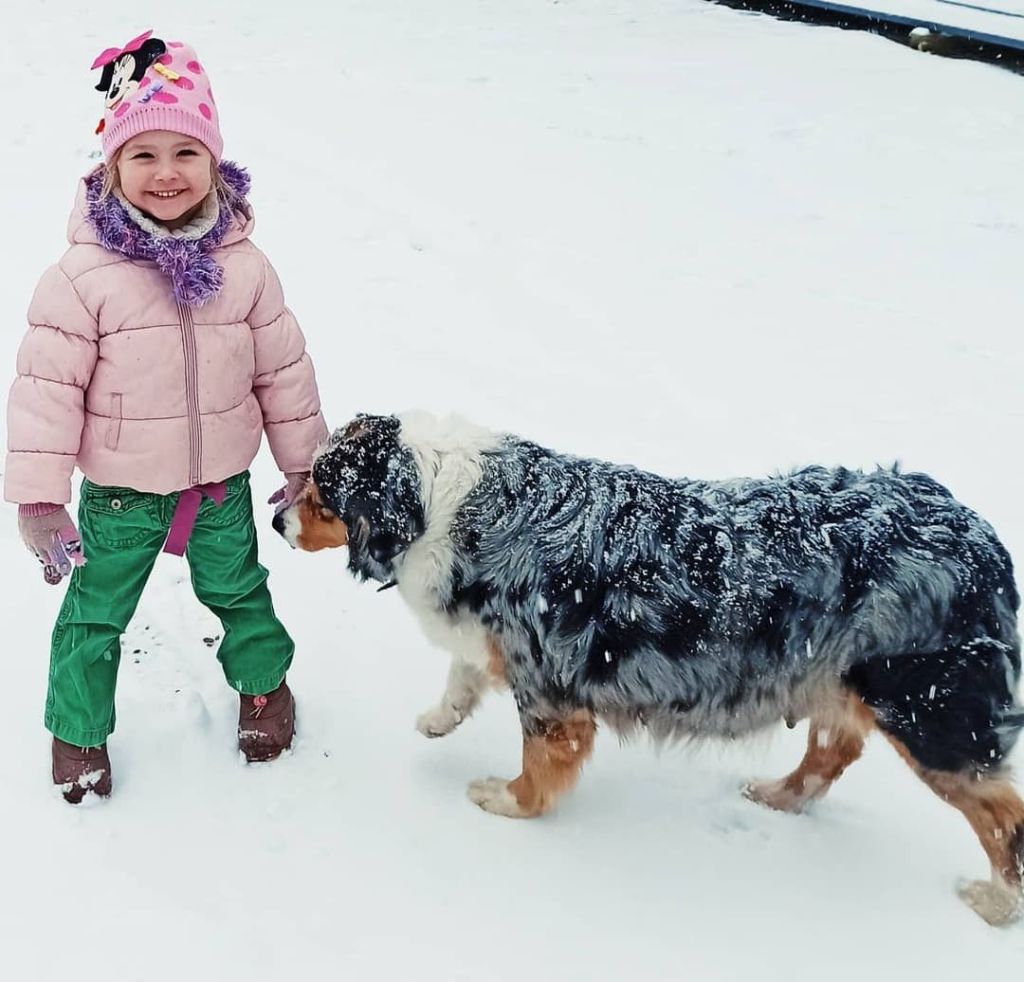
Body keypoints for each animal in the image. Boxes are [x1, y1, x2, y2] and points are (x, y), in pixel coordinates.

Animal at [274, 411, 1024, 925]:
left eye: (320, 493)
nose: (277, 521)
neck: (443, 503)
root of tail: (983, 539)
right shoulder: (500, 645)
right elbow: (464, 673)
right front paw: (439, 718)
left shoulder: (547, 684)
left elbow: (540, 762)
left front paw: (507, 801)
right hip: (834, 678)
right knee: (833, 750)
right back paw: (776, 797)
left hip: (930, 713)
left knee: (1002, 813)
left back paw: (996, 904)